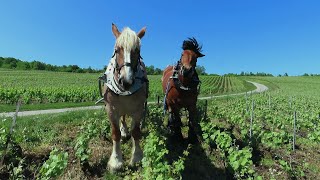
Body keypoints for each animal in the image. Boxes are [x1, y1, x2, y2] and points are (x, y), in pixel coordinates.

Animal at [102, 23, 148, 172]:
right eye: (117, 50)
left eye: (137, 51)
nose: (126, 81)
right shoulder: (111, 109)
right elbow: (115, 133)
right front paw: (116, 161)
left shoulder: (138, 110)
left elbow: (136, 132)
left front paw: (137, 156)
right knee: (122, 118)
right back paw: (124, 131)